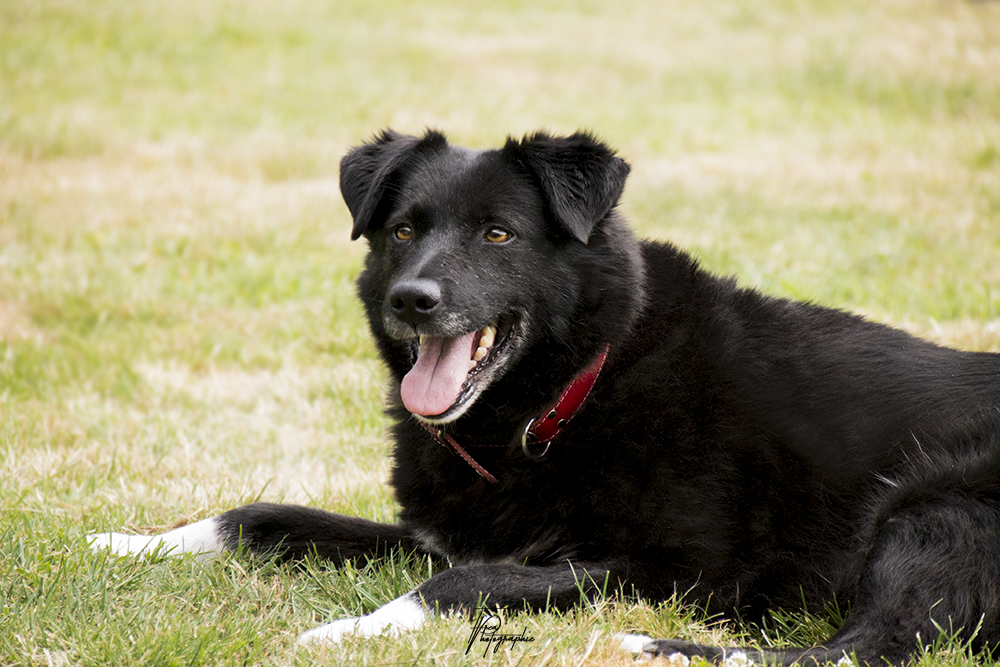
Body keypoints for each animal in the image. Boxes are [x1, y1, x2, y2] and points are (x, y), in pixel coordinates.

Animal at [92, 129, 1000, 664]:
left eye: (499, 233)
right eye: (402, 230)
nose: (412, 300)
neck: (565, 395)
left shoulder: (674, 568)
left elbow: (467, 583)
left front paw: (350, 628)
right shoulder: (440, 533)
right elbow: (262, 514)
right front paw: (129, 544)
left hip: (933, 504)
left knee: (859, 646)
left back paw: (650, 645)